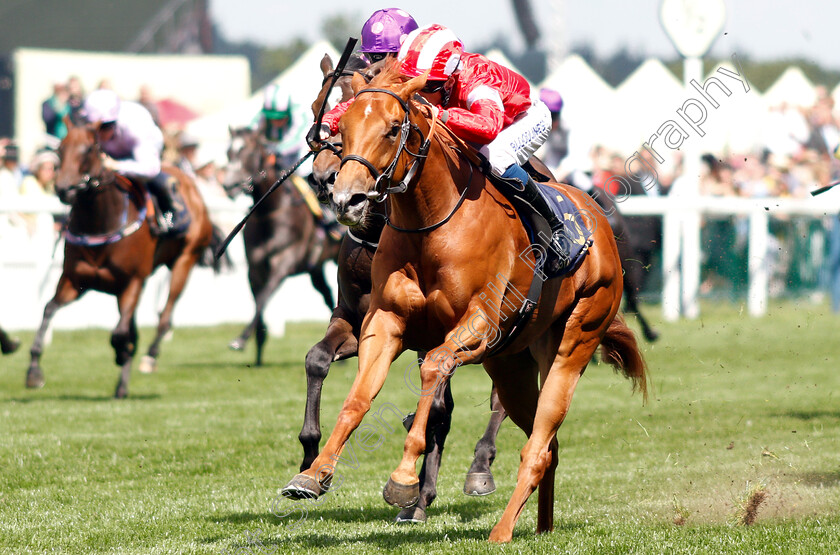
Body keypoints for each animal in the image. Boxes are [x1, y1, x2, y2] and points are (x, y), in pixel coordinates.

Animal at [27, 122, 215, 400]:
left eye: (89, 149)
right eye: (60, 149)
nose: (64, 188)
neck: (101, 221)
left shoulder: (133, 281)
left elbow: (119, 334)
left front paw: (121, 354)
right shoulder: (74, 281)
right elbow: (48, 310)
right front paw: (33, 371)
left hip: (184, 260)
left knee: (164, 316)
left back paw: (148, 357)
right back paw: (123, 383)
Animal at [284, 65, 648, 544]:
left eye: (393, 128)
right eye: (340, 126)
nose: (345, 197)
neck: (430, 224)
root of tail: (597, 216)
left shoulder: (475, 326)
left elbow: (435, 373)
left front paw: (405, 483)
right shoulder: (384, 322)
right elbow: (357, 396)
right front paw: (314, 472)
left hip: (574, 342)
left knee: (538, 443)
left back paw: (502, 529)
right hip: (512, 364)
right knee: (546, 443)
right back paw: (541, 526)